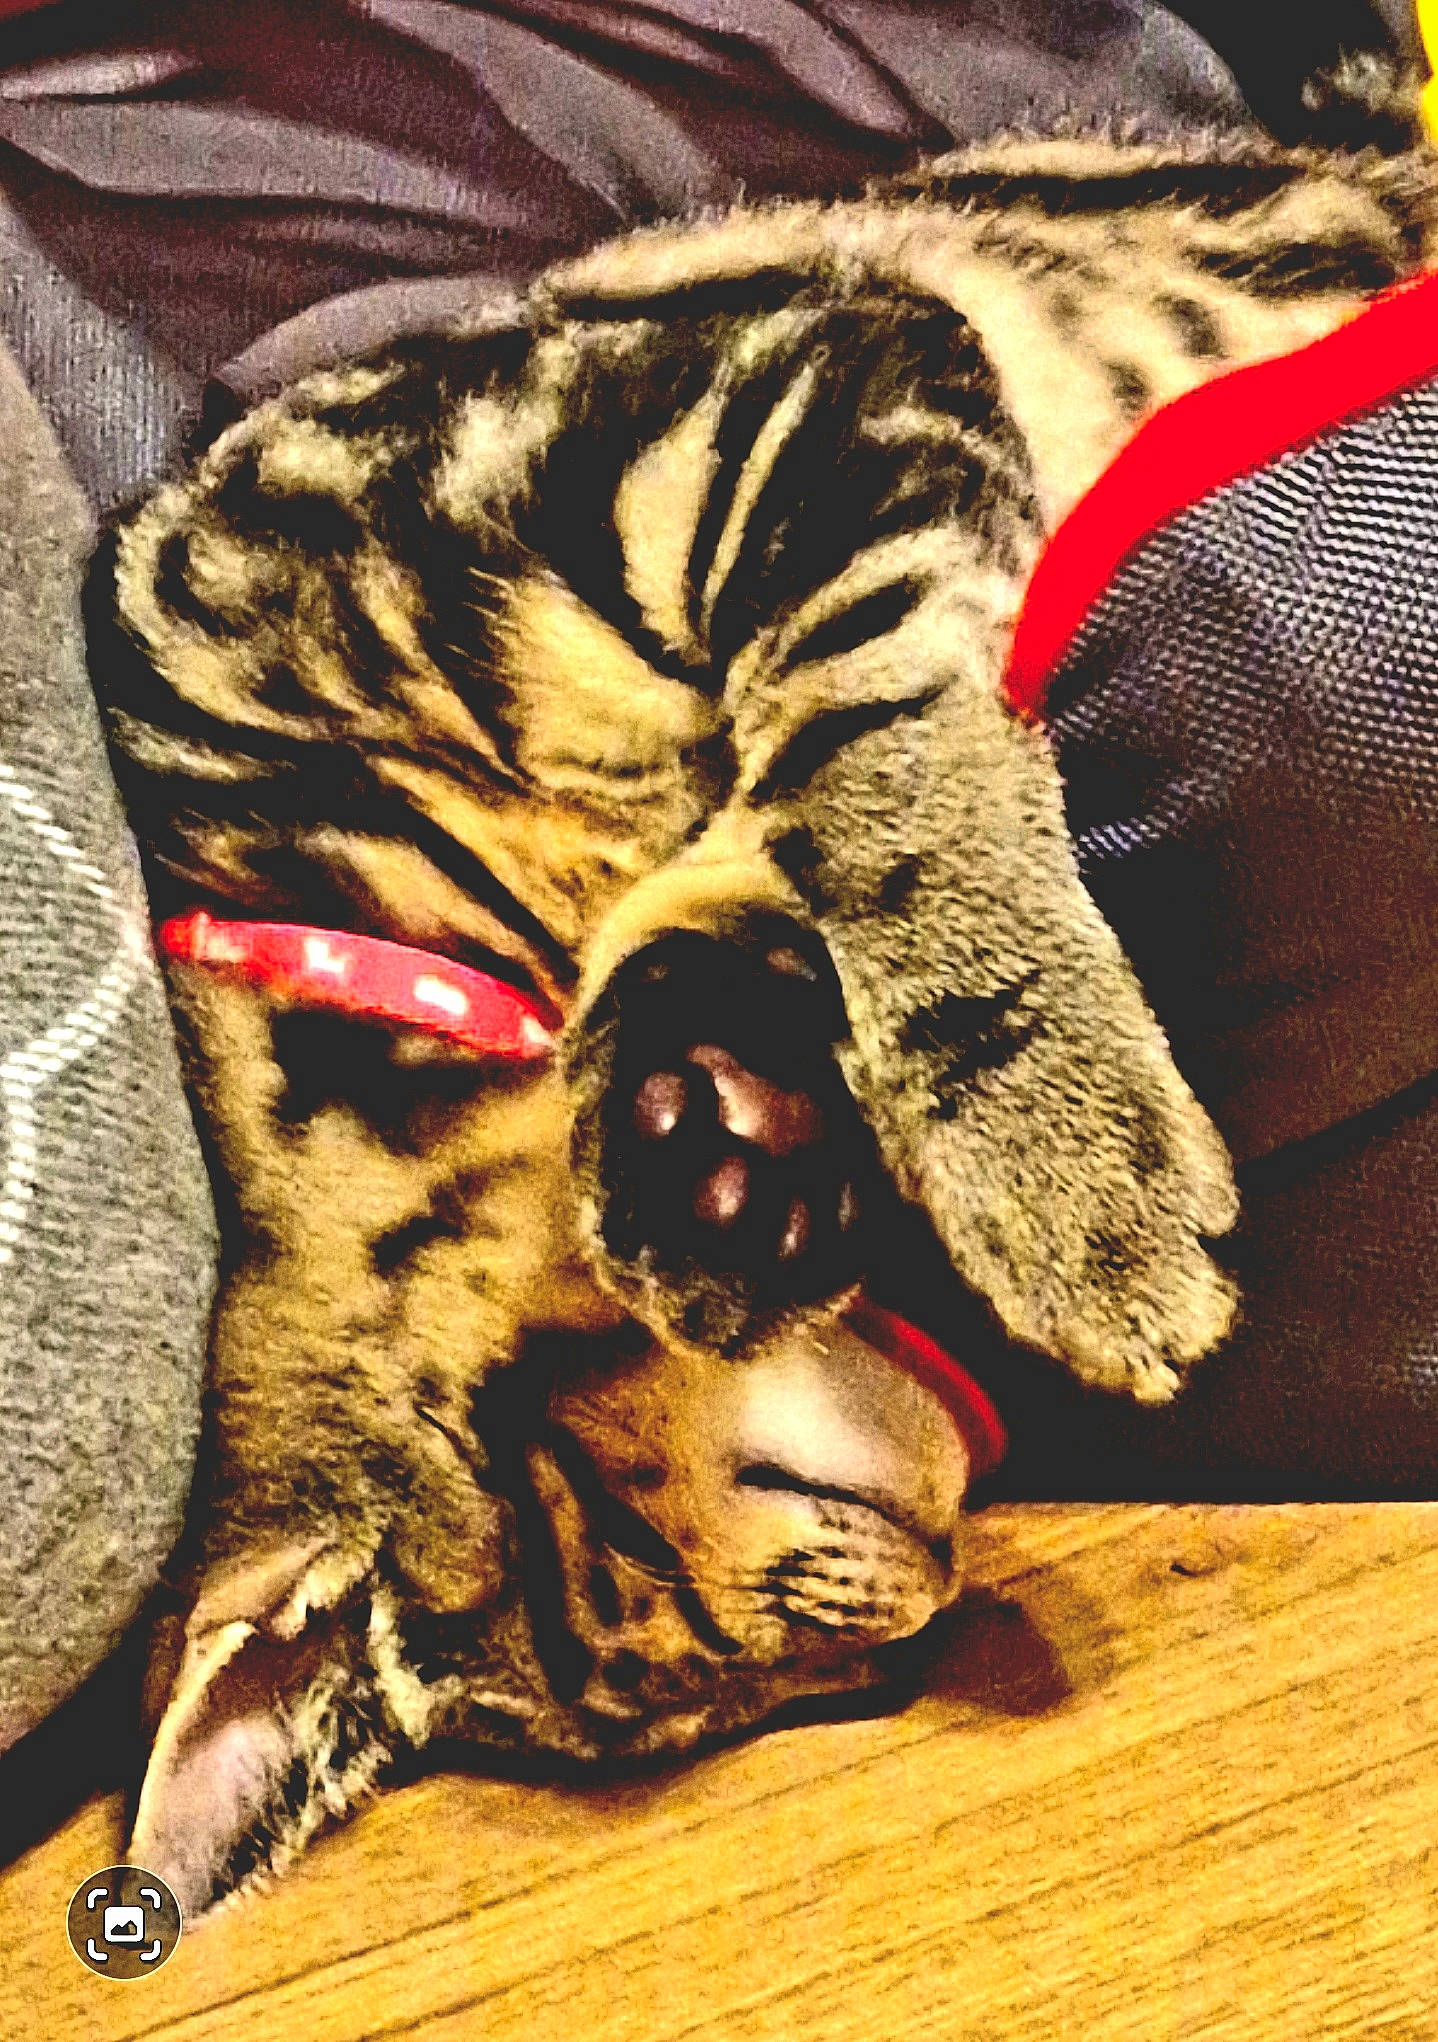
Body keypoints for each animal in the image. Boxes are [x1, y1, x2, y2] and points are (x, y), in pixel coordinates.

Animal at [86, 128, 1438, 1917]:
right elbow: (738, 887)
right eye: (687, 1703)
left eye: (608, 1565)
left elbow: (873, 744)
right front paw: (726, 1145)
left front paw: (1057, 1157)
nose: (915, 1618)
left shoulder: (745, 398)